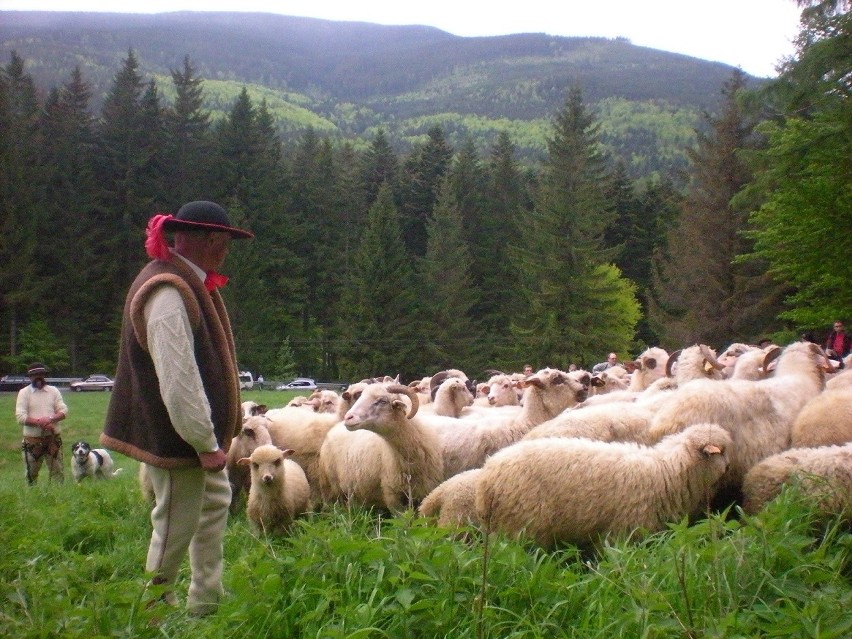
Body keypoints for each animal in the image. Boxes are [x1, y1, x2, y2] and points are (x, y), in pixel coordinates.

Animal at [316, 382, 442, 512]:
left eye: (382, 401)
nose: (348, 417)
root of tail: (337, 425)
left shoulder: (425, 491)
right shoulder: (391, 493)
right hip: (328, 483)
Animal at [472, 424, 732, 552]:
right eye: (722, 451)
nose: (731, 466)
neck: (666, 469)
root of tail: (487, 478)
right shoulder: (623, 531)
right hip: (522, 527)